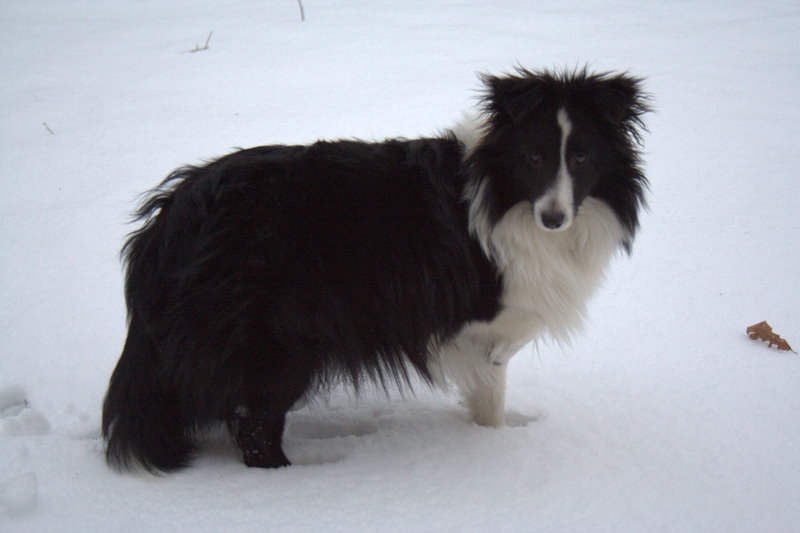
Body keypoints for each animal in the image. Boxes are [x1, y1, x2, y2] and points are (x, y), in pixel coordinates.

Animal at [100, 66, 648, 470]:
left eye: (581, 158)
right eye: (534, 157)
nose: (553, 219)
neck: (502, 196)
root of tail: (166, 221)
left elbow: (489, 390)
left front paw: (490, 436)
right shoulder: (482, 318)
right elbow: (491, 371)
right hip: (280, 342)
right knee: (252, 425)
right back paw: (288, 476)